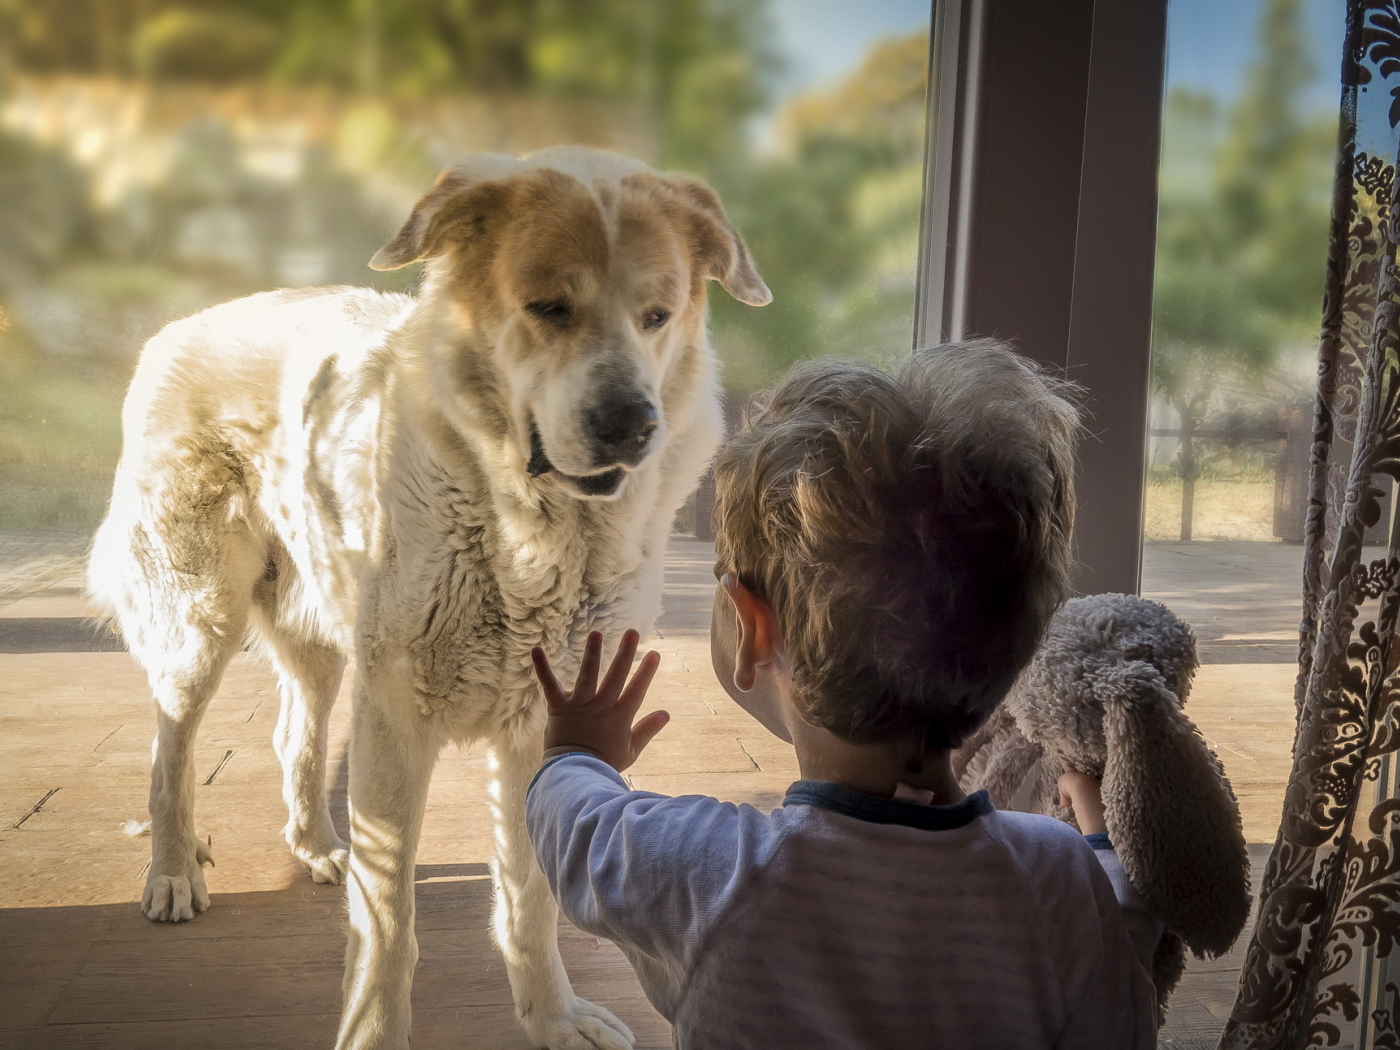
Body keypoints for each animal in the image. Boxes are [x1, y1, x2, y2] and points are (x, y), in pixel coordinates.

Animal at [90, 144, 767, 1047]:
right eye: (548, 307)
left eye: (657, 316)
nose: (631, 423)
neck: (526, 525)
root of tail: (179, 327)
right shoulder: (395, 719)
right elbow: (387, 922)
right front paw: (374, 1032)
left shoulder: (539, 722)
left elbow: (530, 901)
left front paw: (552, 1018)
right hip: (202, 623)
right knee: (170, 751)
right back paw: (171, 872)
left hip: (322, 636)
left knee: (295, 735)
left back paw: (315, 845)